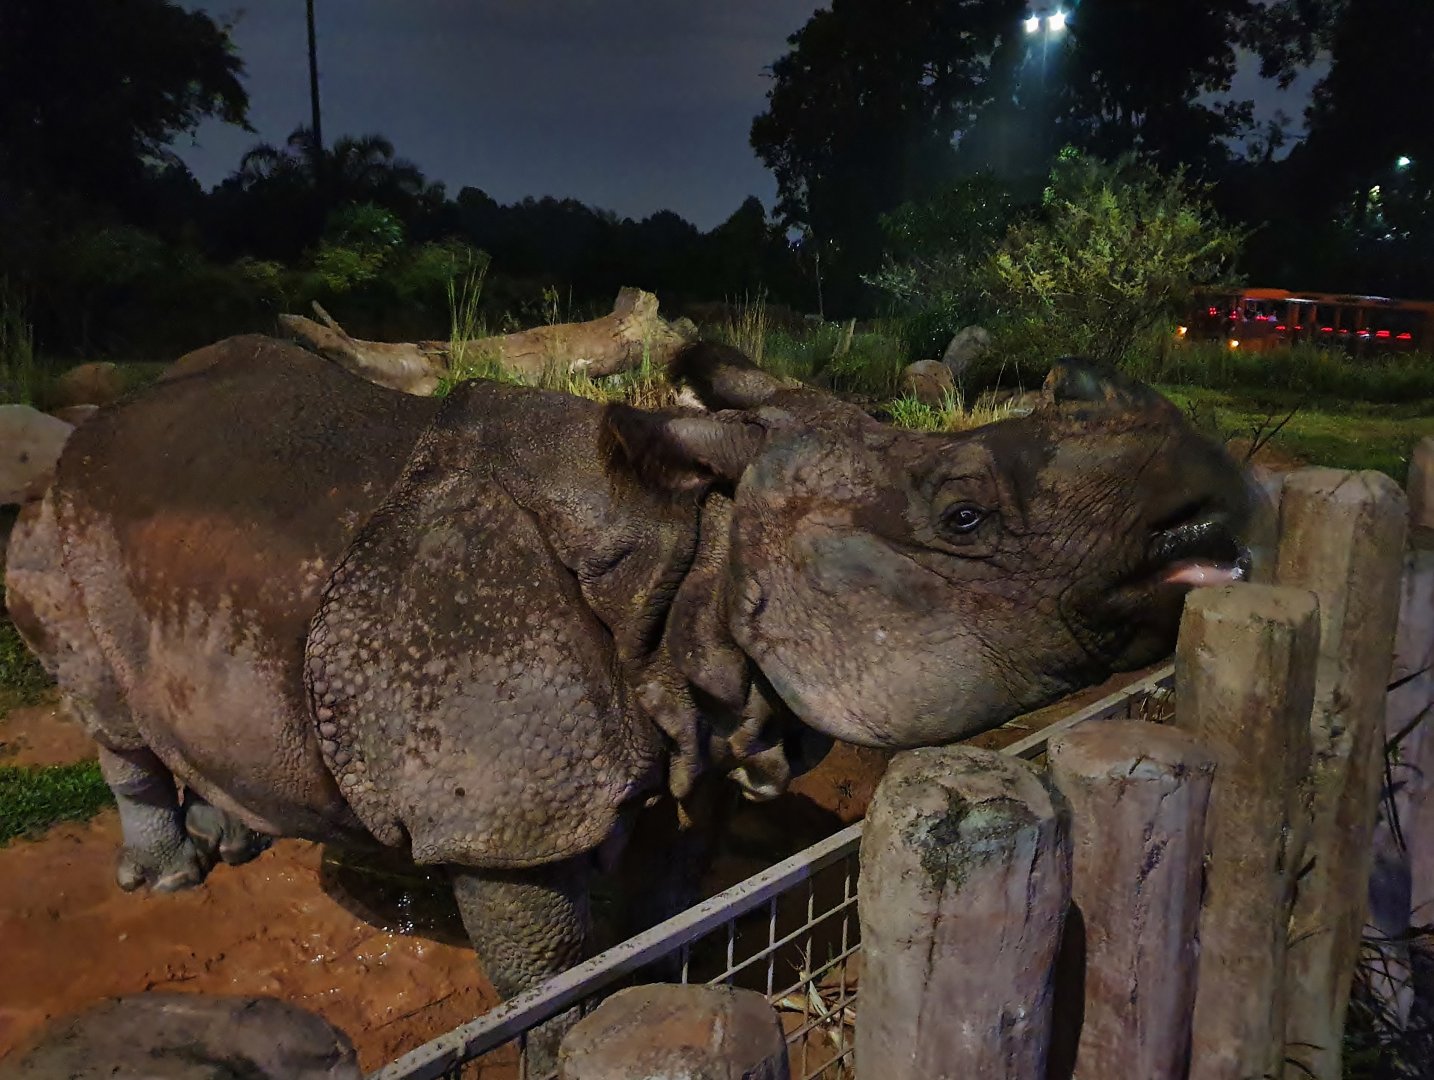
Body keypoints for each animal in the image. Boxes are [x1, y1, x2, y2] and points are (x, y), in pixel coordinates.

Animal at [5, 335, 1250, 1059]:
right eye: (965, 517)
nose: (1219, 489)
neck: (700, 556)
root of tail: (84, 440)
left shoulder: (697, 714)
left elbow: (672, 873)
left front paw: (655, 971)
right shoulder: (502, 799)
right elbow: (545, 967)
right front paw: (567, 1035)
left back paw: (236, 838)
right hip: (52, 529)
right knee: (103, 706)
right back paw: (169, 879)